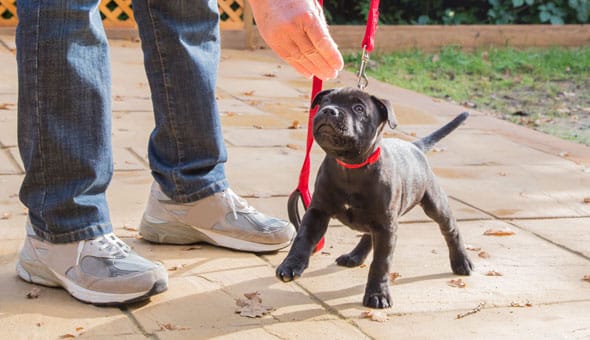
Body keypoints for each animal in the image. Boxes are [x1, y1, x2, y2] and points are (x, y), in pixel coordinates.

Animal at [278, 87, 476, 308]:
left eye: (358, 108)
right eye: (326, 101)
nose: (329, 110)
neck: (350, 166)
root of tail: (415, 146)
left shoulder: (386, 225)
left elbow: (381, 262)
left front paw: (377, 294)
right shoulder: (317, 212)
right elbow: (302, 238)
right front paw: (291, 265)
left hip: (433, 203)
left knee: (450, 229)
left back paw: (462, 262)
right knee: (368, 234)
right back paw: (354, 256)